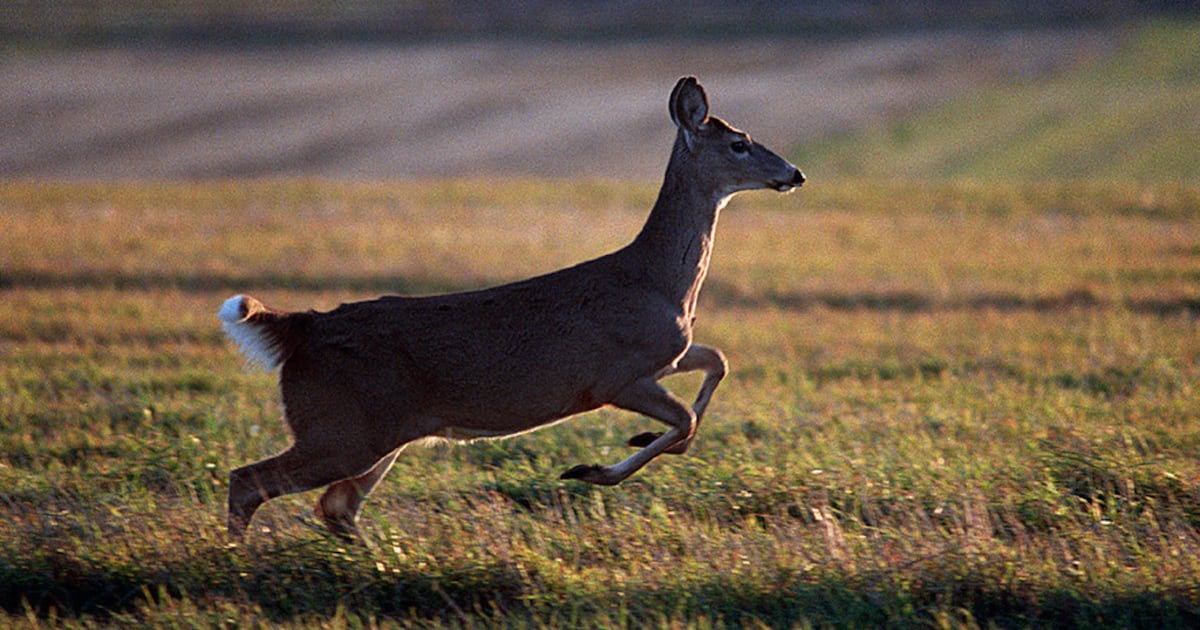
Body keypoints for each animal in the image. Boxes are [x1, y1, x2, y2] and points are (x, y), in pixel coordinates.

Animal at [218, 76, 805, 540]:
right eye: (739, 144)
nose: (795, 173)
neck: (658, 282)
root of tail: (298, 330)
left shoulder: (666, 356)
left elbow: (716, 364)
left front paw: (631, 445)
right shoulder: (614, 376)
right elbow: (685, 418)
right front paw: (591, 470)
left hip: (375, 433)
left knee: (334, 506)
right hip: (342, 428)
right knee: (248, 481)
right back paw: (239, 562)